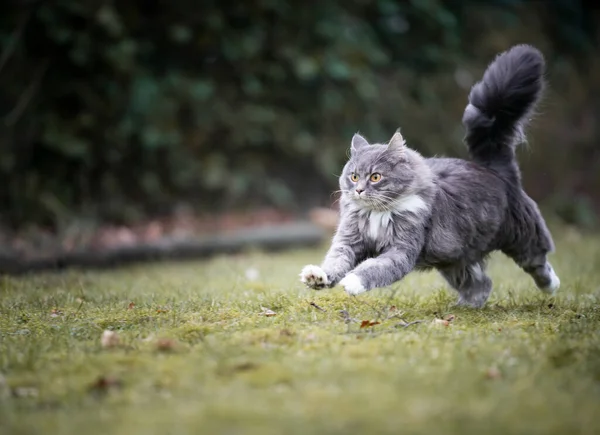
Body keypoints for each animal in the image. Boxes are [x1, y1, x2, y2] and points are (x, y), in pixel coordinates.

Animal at [300, 44, 564, 308]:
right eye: (354, 177)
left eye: (375, 177)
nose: (359, 190)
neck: (377, 215)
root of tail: (493, 169)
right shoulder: (350, 242)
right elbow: (335, 262)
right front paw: (317, 277)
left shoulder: (401, 250)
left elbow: (373, 268)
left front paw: (352, 282)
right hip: (454, 259)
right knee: (482, 283)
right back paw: (465, 307)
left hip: (523, 237)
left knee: (538, 263)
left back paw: (551, 286)